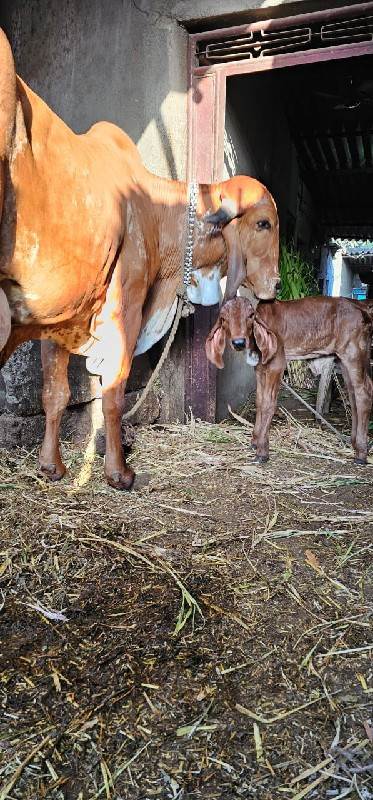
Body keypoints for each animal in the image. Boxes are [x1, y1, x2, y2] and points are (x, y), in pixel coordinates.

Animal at [0, 29, 280, 488]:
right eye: (263, 224)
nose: (275, 284)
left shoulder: (57, 318)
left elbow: (54, 393)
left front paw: (51, 466)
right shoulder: (126, 307)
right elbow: (113, 393)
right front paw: (118, 472)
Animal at [205, 296, 372, 466]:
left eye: (251, 315)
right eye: (223, 318)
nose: (239, 342)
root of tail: (360, 305)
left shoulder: (276, 364)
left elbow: (268, 404)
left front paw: (262, 451)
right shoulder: (259, 368)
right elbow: (260, 401)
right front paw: (254, 442)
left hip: (353, 354)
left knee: (364, 393)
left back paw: (361, 453)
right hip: (343, 360)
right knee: (353, 394)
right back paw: (355, 443)